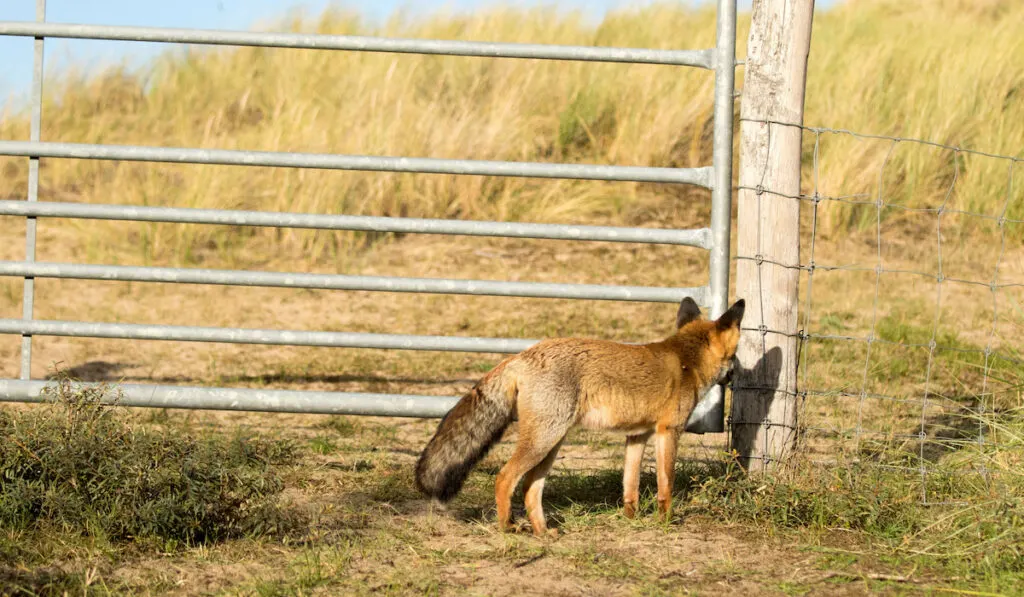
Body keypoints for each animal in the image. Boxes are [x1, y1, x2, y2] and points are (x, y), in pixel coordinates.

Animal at [415, 299, 745, 536]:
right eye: (736, 356)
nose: (738, 374)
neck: (687, 361)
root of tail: (522, 355)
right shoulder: (669, 430)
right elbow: (666, 483)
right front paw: (666, 521)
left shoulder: (637, 434)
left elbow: (630, 485)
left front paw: (631, 518)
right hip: (543, 441)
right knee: (505, 477)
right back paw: (507, 527)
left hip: (552, 444)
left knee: (530, 488)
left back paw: (543, 532)